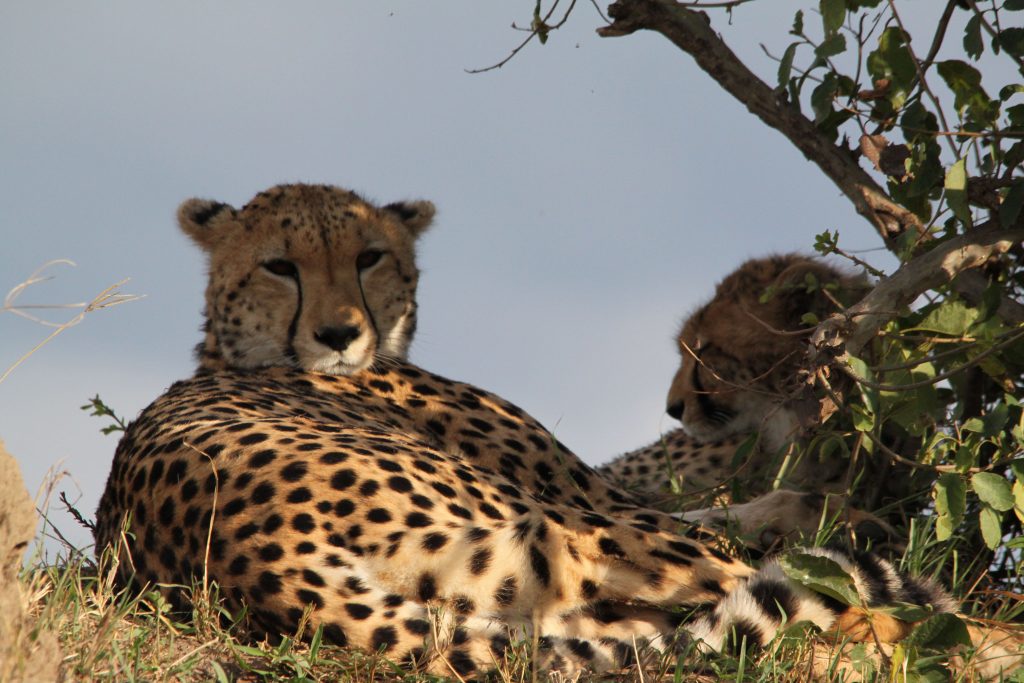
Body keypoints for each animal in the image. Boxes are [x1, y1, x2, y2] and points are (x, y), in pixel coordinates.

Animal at [94, 187, 958, 679]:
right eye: (281, 265)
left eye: (370, 256)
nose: (338, 333)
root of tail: (257, 561)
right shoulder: (590, 493)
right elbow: (731, 518)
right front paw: (834, 512)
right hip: (567, 531)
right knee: (783, 603)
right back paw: (946, 628)